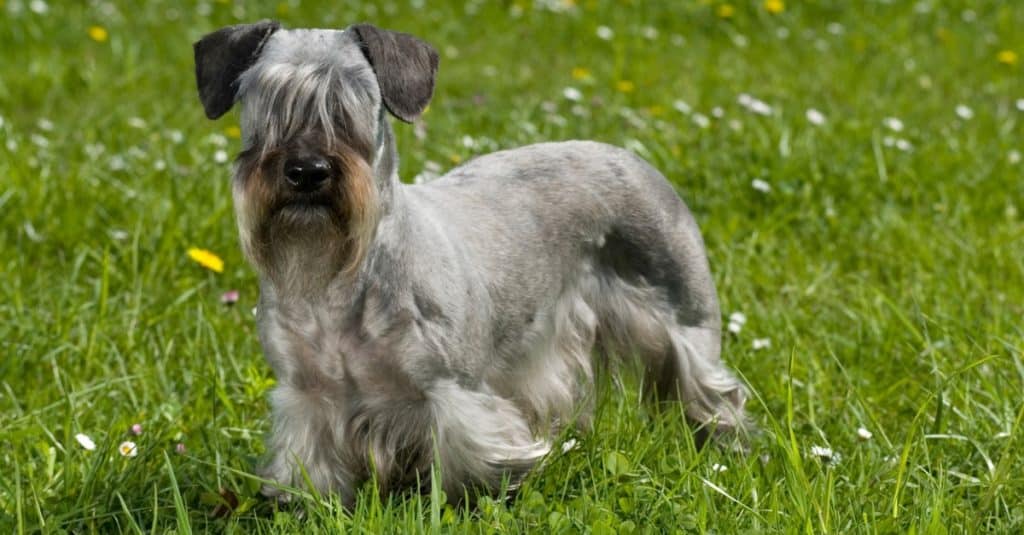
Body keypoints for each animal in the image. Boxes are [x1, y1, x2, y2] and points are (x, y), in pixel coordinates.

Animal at [195, 20, 749, 504]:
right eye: (267, 101)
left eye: (352, 104)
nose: (307, 170)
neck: (341, 280)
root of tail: (630, 156)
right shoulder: (306, 396)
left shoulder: (453, 392)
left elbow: (470, 459)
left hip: (687, 320)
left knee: (713, 391)